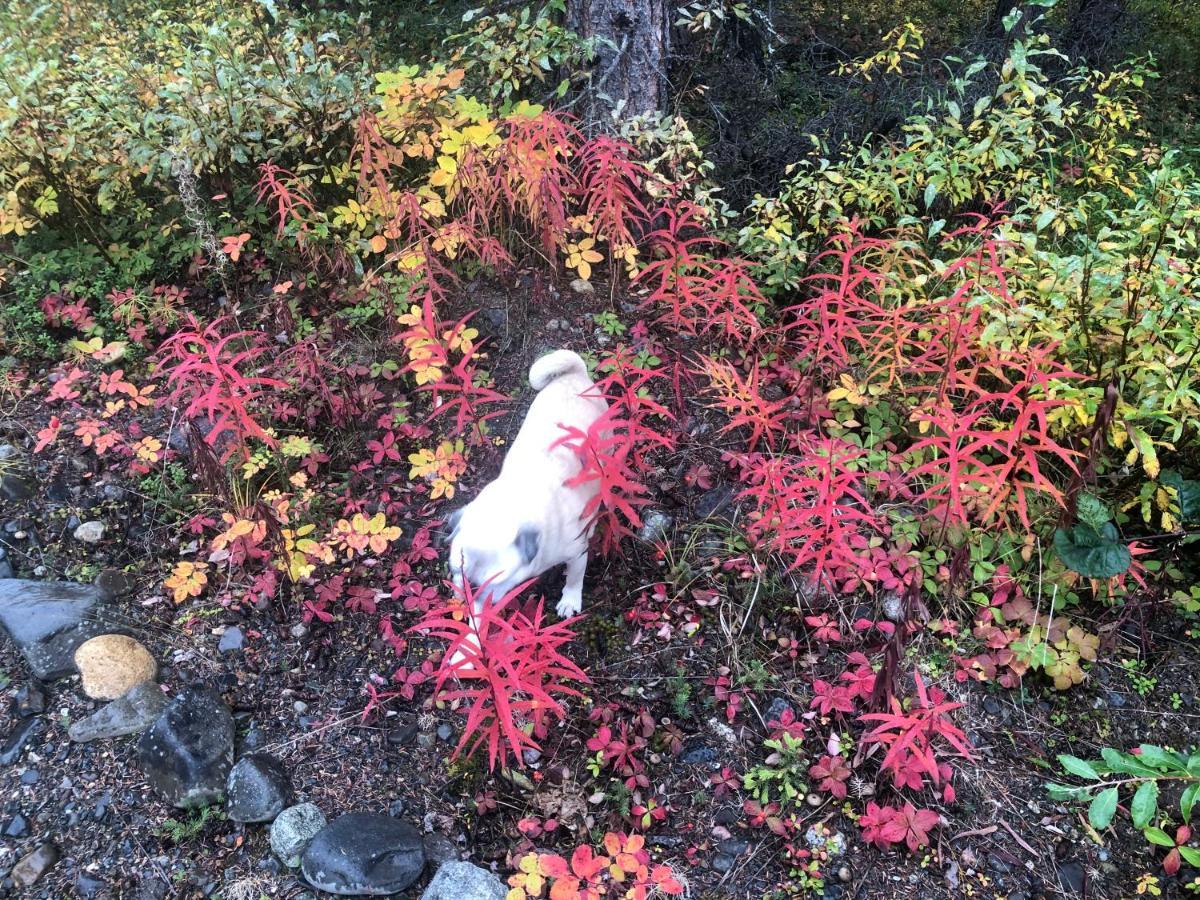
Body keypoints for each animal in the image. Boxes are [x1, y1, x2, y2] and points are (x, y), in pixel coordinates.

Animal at [446, 350, 604, 619]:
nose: (471, 590)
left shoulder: (577, 553)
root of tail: (574, 374)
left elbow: (575, 577)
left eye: (494, 581)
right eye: (458, 570)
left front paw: (570, 600)